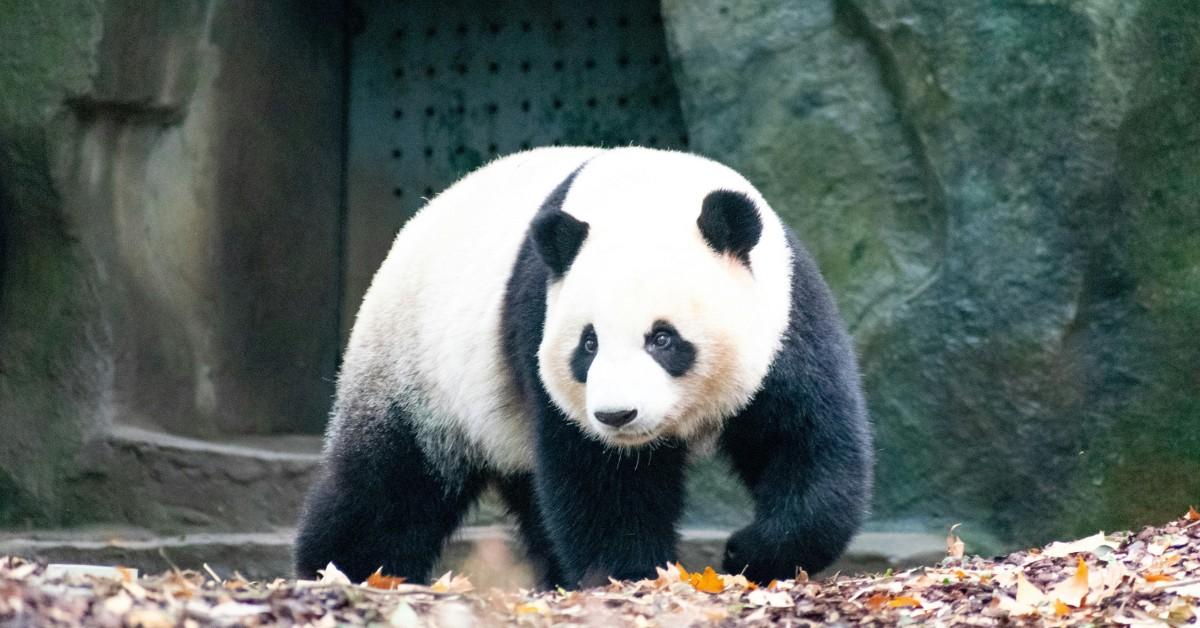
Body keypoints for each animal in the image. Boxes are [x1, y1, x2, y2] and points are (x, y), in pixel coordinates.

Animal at [294, 146, 873, 588]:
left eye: (663, 338)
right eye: (587, 344)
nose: (618, 415)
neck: (646, 193)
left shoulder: (787, 319)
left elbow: (807, 442)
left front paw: (749, 552)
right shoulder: (539, 322)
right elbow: (601, 479)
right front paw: (634, 575)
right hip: (417, 367)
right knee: (390, 483)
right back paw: (343, 570)